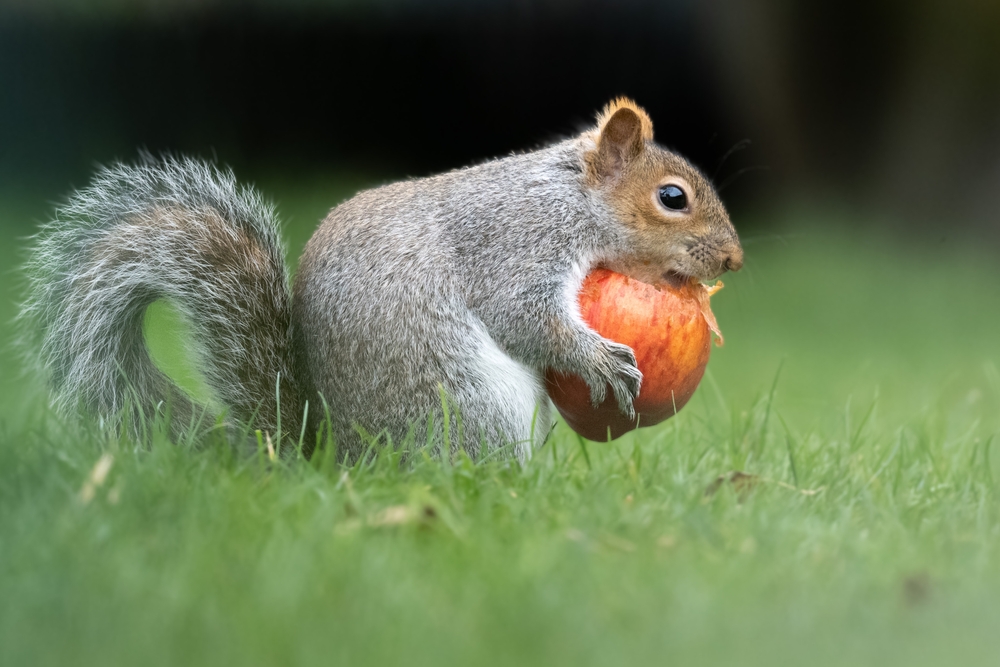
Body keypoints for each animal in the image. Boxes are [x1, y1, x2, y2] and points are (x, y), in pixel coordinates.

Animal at [21, 98, 743, 460]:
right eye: (672, 198)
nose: (734, 260)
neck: (572, 198)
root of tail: (338, 461)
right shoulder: (515, 246)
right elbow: (527, 317)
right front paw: (596, 358)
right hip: (470, 406)